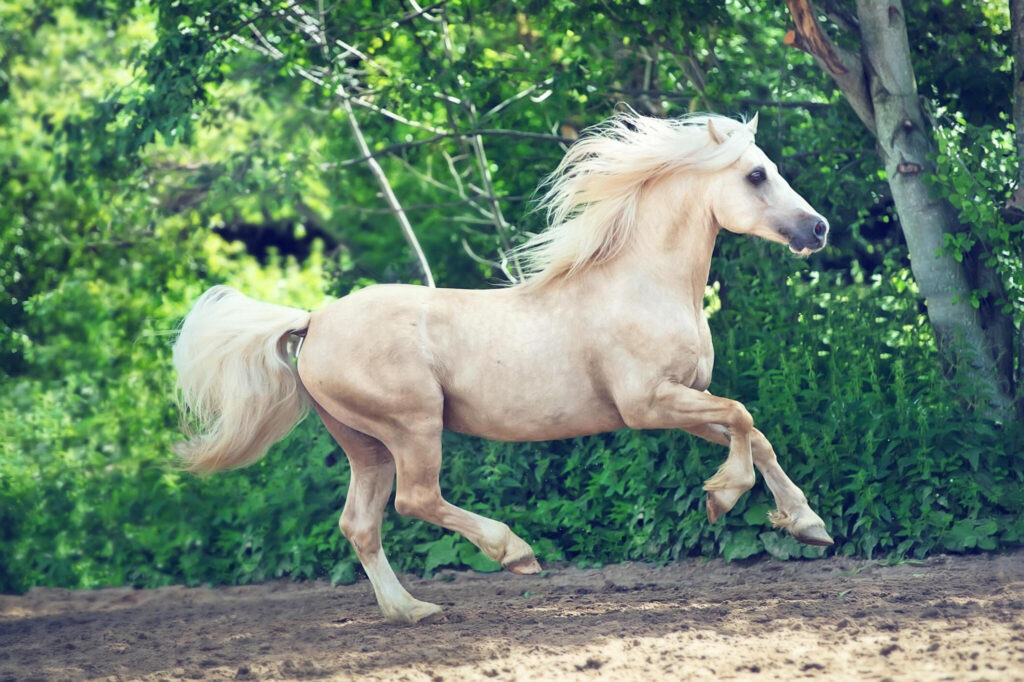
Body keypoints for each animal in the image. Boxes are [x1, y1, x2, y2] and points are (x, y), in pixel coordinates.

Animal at [174, 110, 831, 622]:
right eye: (755, 174)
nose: (819, 228)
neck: (643, 285)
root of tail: (313, 320)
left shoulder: (682, 401)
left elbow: (755, 433)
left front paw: (806, 524)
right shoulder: (647, 403)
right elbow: (743, 416)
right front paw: (723, 498)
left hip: (365, 443)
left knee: (360, 523)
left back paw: (411, 610)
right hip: (412, 427)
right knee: (416, 501)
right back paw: (514, 553)